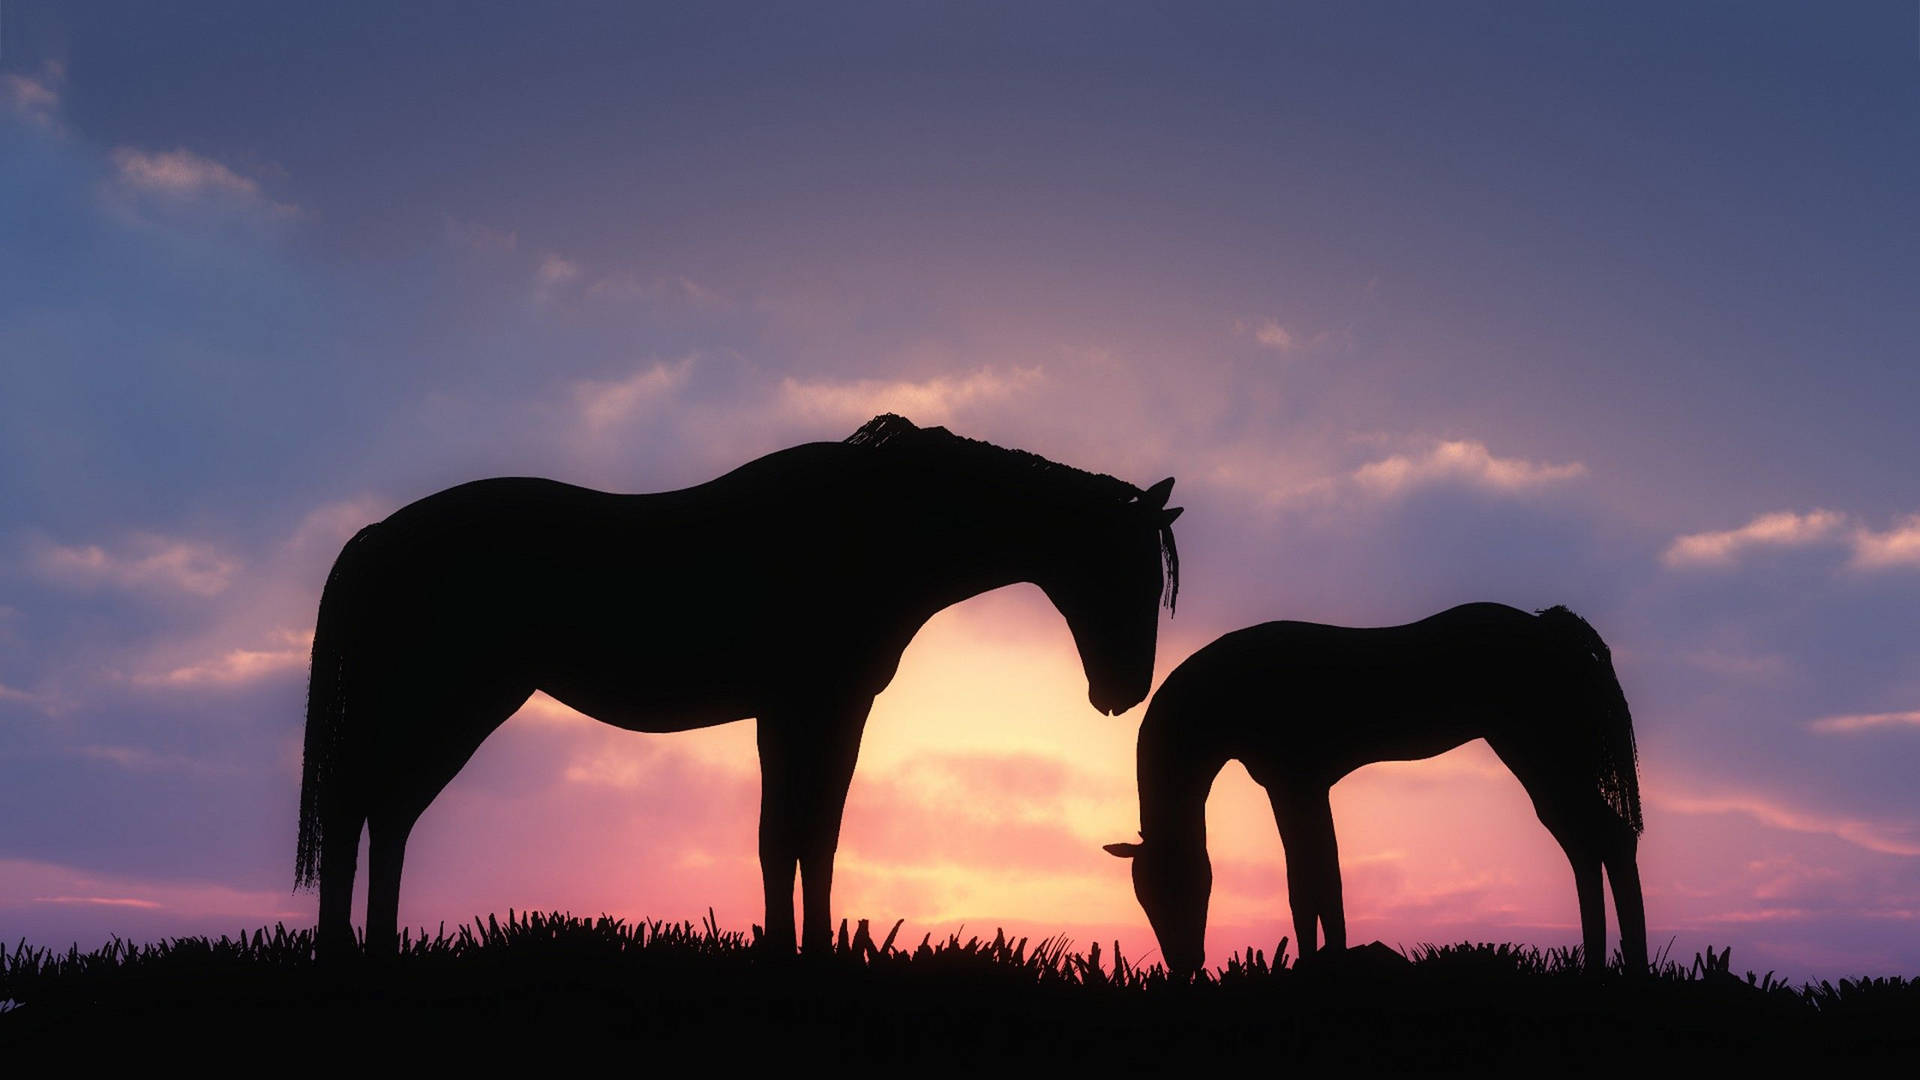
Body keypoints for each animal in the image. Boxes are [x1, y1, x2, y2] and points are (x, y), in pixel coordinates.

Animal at [297, 413, 1181, 958]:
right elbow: (802, 833)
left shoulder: (796, 712)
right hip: (448, 701)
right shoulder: (819, 706)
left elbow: (792, 836)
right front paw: (806, 953)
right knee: (366, 810)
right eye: (1128, 568)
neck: (876, 531)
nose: (1124, 692)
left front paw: (799, 948)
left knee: (384, 813)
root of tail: (378, 536)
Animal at [1104, 603, 1645, 978]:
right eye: (1144, 897)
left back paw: (1632, 967)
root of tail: (1556, 632)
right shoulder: (1300, 786)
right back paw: (1596, 965)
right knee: (1585, 845)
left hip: (1542, 755)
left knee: (1608, 841)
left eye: (1178, 886)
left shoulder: (1296, 783)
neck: (1230, 691)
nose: (1183, 965)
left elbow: (1312, 882)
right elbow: (1316, 881)